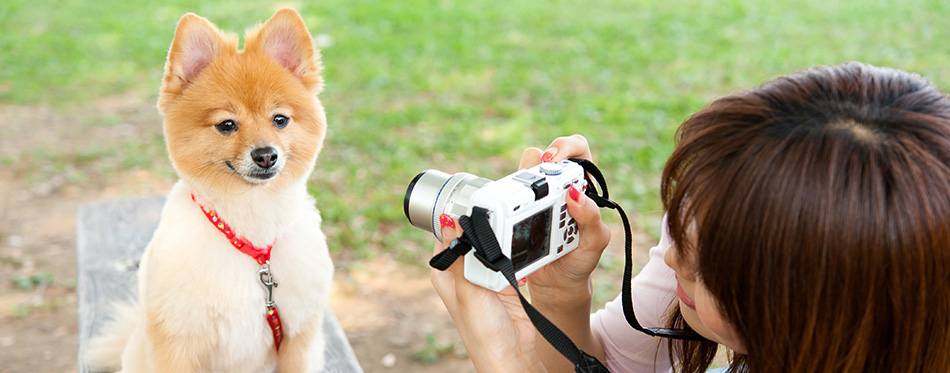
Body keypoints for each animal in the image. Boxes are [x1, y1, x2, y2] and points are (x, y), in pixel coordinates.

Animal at [85, 8, 336, 372]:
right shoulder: (177, 340)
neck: (251, 230)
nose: (266, 155)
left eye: (280, 120)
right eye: (226, 125)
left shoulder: (298, 336)